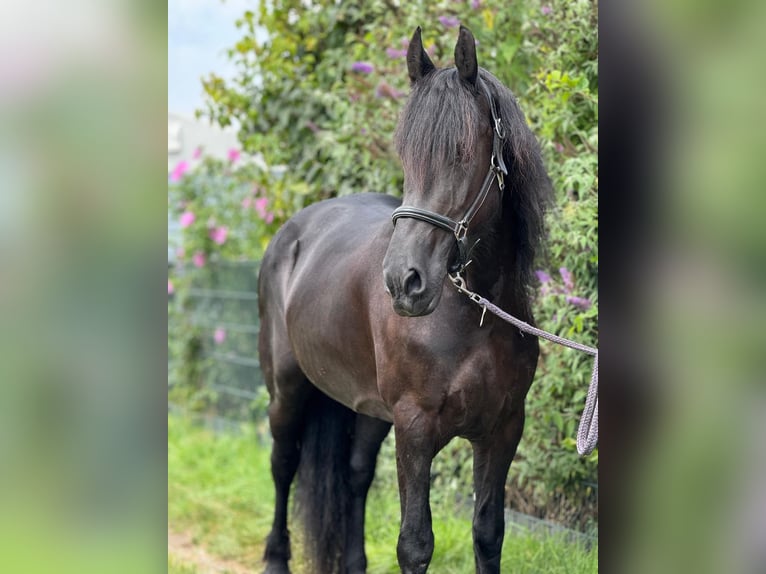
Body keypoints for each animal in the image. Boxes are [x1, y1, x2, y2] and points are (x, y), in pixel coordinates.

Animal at [258, 24, 552, 572]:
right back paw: (275, 558)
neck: (475, 317)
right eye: (407, 157)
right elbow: (415, 544)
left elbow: (488, 533)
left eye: (462, 153)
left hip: (371, 410)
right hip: (286, 390)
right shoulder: (415, 428)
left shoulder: (503, 429)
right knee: (283, 464)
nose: (402, 281)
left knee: (354, 475)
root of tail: (293, 231)